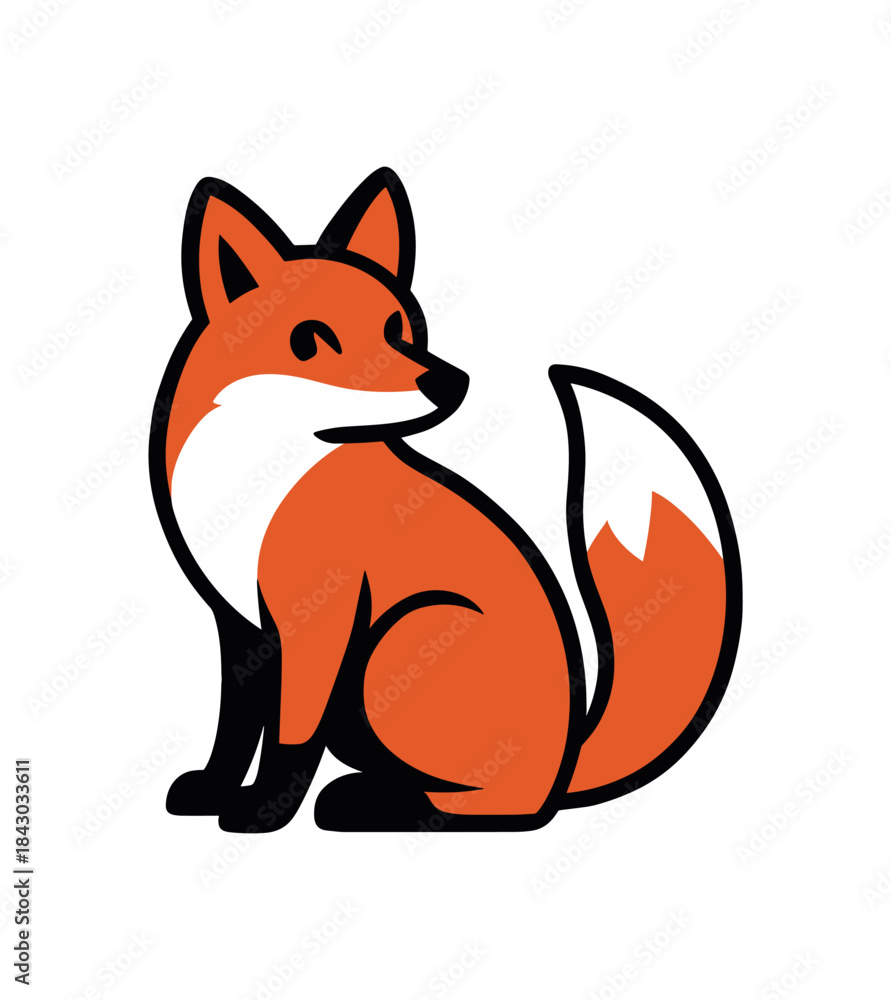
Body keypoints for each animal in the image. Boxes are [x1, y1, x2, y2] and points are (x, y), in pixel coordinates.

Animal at [149, 167, 742, 833]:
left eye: (397, 327)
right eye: (311, 339)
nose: (448, 382)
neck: (261, 472)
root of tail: (567, 762)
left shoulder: (317, 619)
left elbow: (289, 737)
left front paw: (262, 811)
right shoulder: (240, 624)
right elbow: (235, 725)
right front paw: (213, 789)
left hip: (402, 639)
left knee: (489, 806)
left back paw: (373, 805)